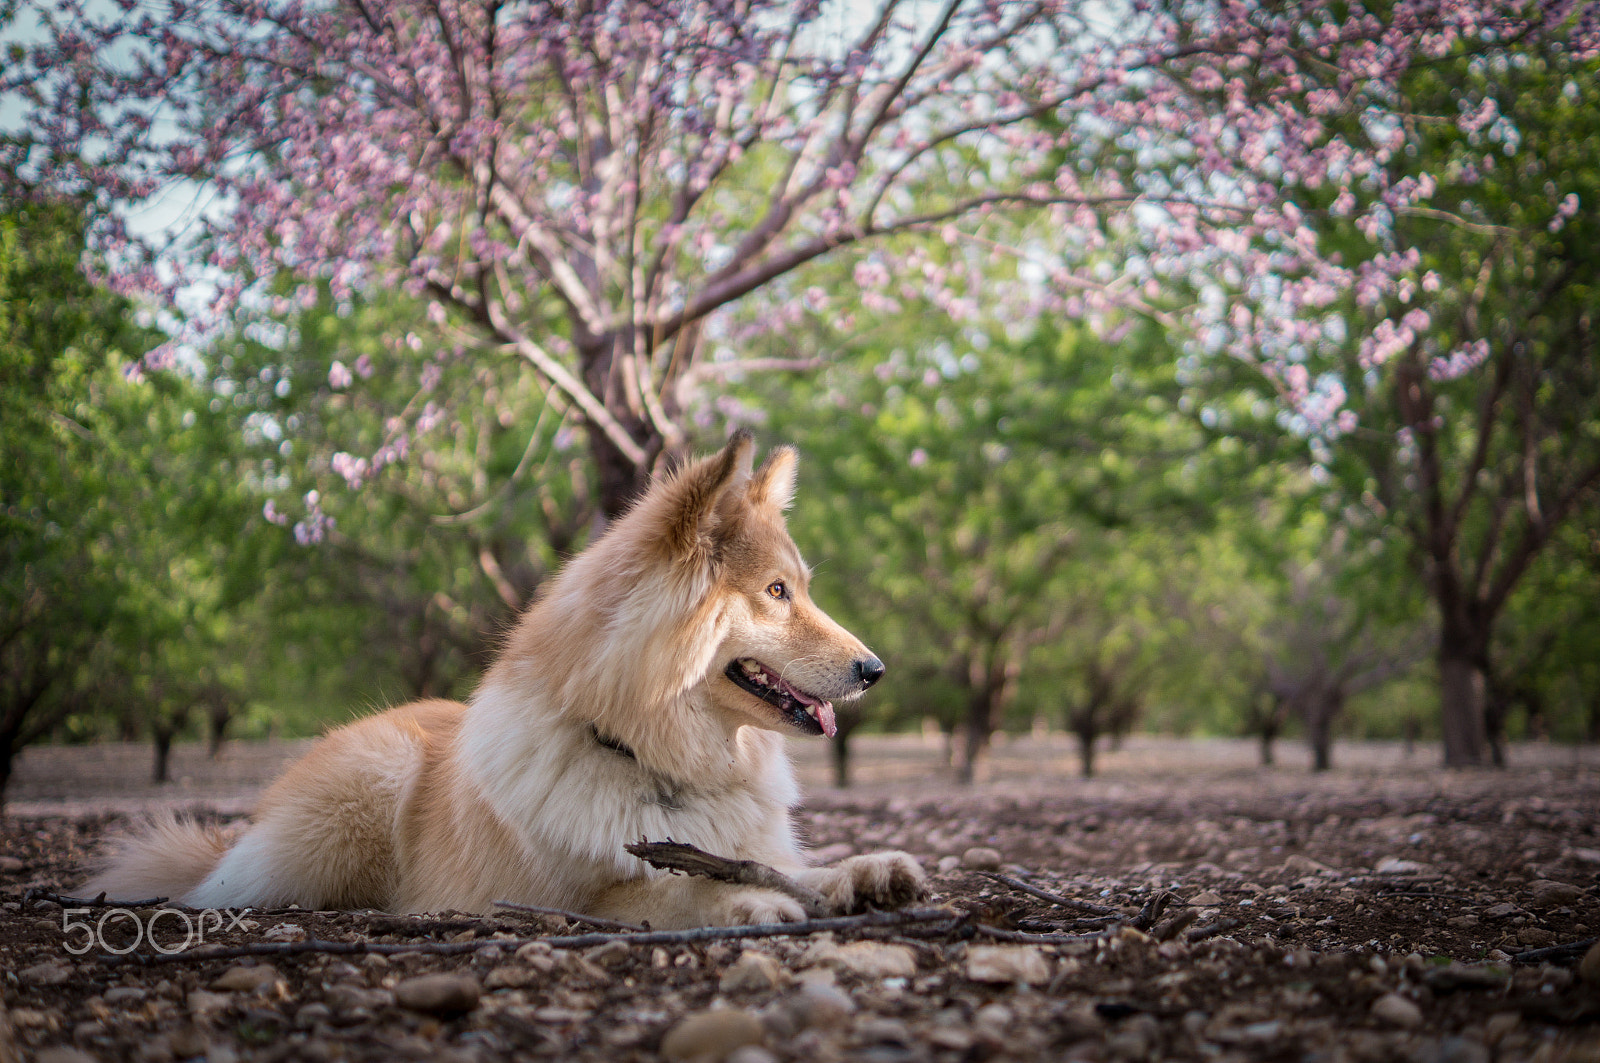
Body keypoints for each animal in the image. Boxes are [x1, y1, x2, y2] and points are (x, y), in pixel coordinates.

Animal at [84, 429, 928, 928]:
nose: (877, 669)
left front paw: (858, 872)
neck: (647, 758)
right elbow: (666, 885)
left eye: (800, 588)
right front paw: (744, 896)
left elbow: (785, 865)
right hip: (371, 780)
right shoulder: (569, 896)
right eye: (777, 592)